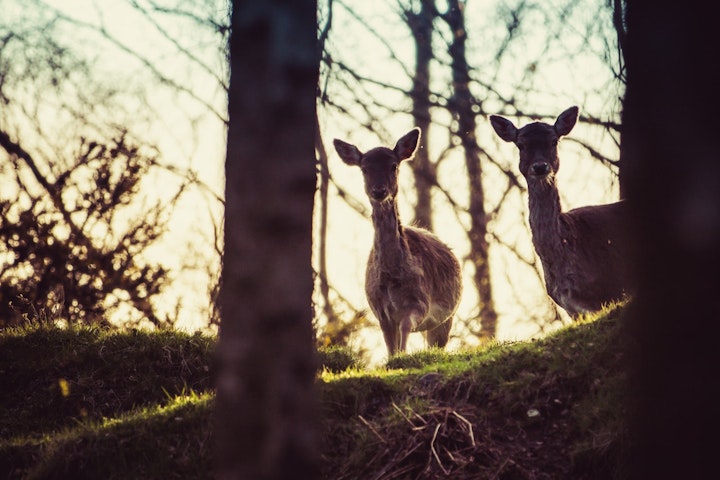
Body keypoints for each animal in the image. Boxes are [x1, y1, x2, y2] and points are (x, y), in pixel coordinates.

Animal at [334, 127, 464, 356]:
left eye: (393, 165)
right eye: (364, 168)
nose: (379, 191)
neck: (391, 276)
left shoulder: (421, 302)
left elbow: (405, 328)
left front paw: (403, 356)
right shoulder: (379, 310)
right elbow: (390, 347)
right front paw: (394, 357)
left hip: (447, 317)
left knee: (438, 344)